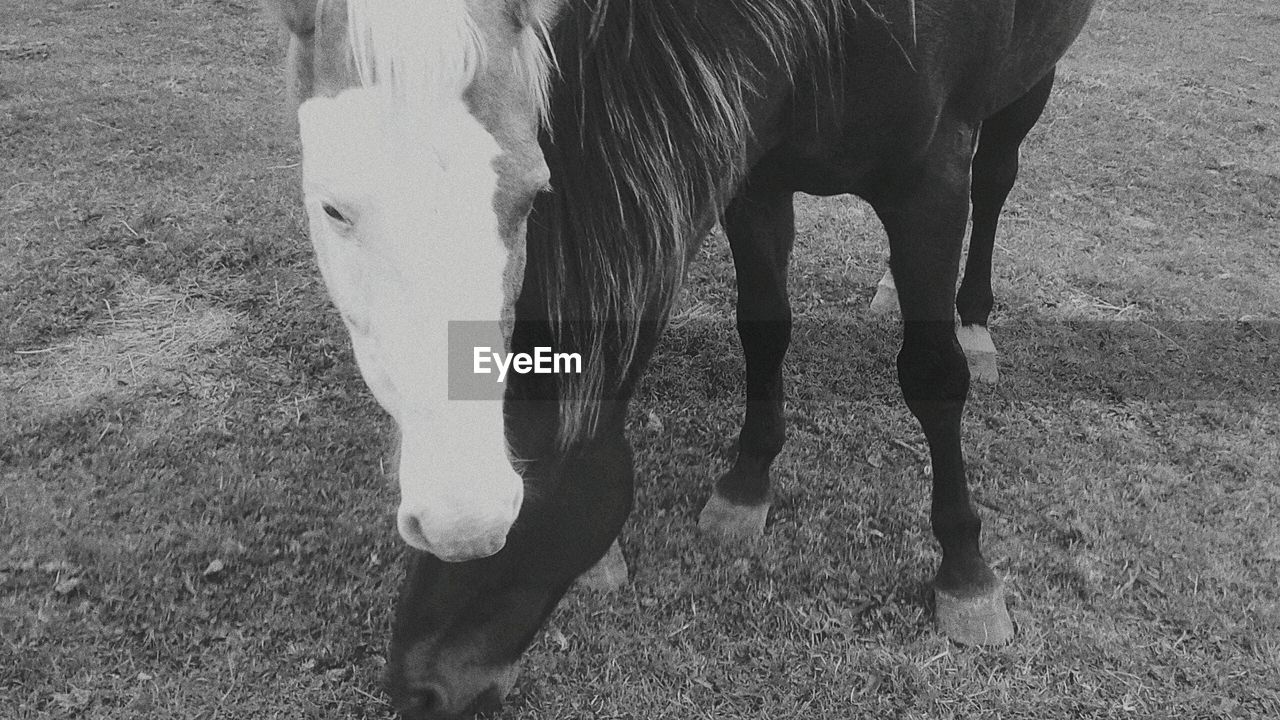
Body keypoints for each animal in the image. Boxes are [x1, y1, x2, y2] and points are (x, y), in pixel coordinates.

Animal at [267, 0, 1090, 712]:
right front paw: (747, 484)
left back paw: (975, 324)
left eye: (516, 508)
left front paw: (966, 573)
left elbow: (932, 377)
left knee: (999, 177)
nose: (416, 690)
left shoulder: (930, 186)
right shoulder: (756, 175)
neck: (835, 27)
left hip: (1025, 92)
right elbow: (763, 329)